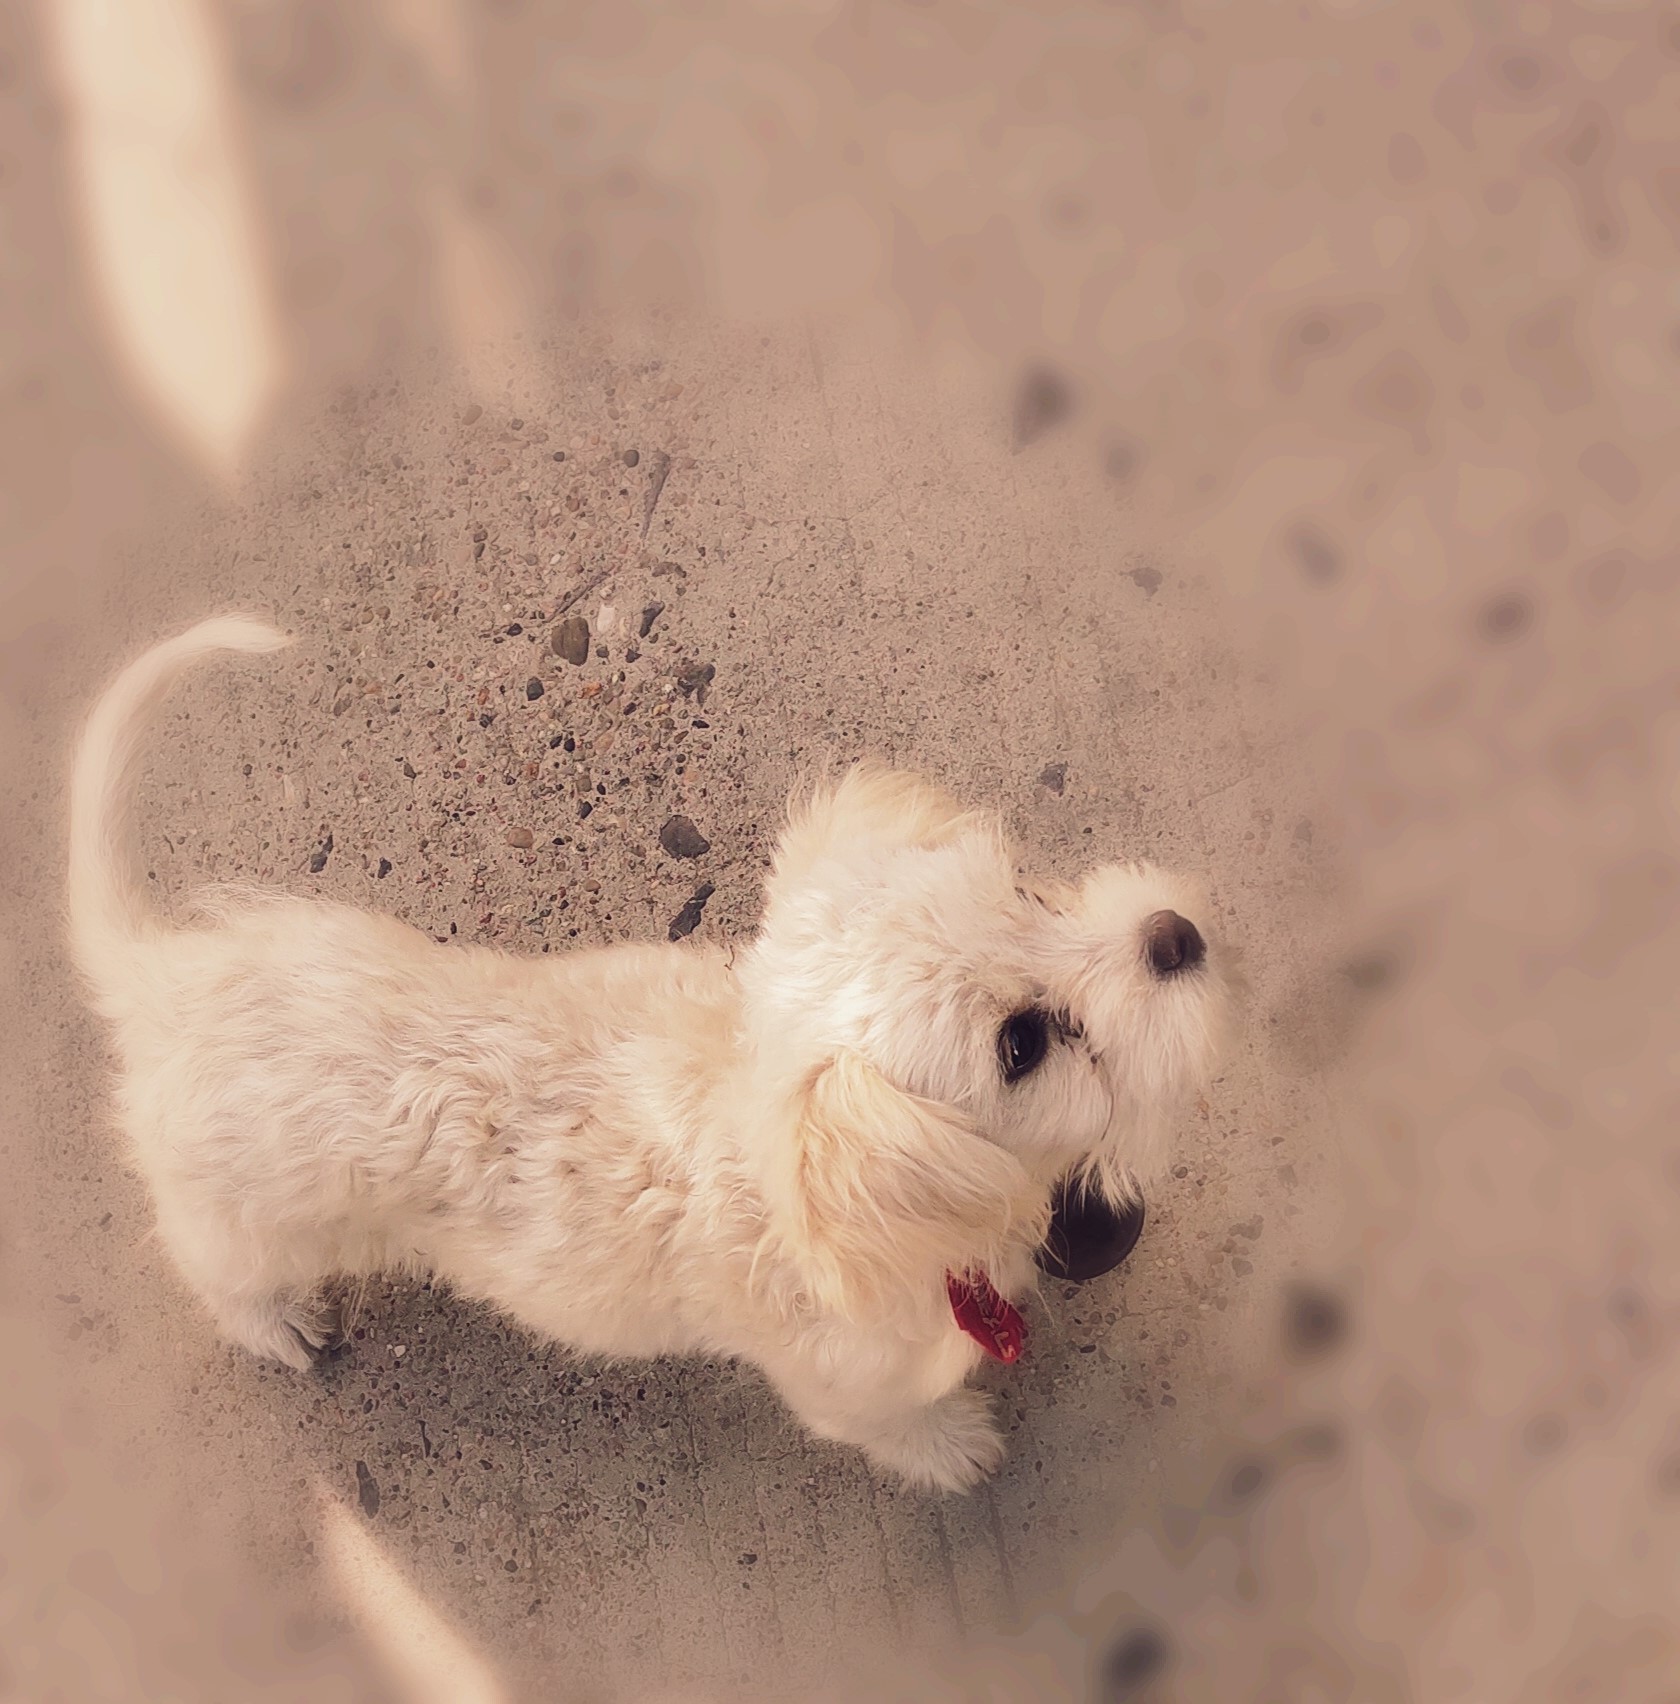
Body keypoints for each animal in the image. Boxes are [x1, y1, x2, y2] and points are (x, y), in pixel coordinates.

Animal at [67, 617, 1236, 1491]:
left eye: (1029, 894)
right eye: (1022, 1044)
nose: (1178, 935)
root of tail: (164, 982)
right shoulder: (844, 1385)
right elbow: (897, 1427)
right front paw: (954, 1448)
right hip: (244, 1232)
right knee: (215, 1275)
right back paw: (278, 1327)